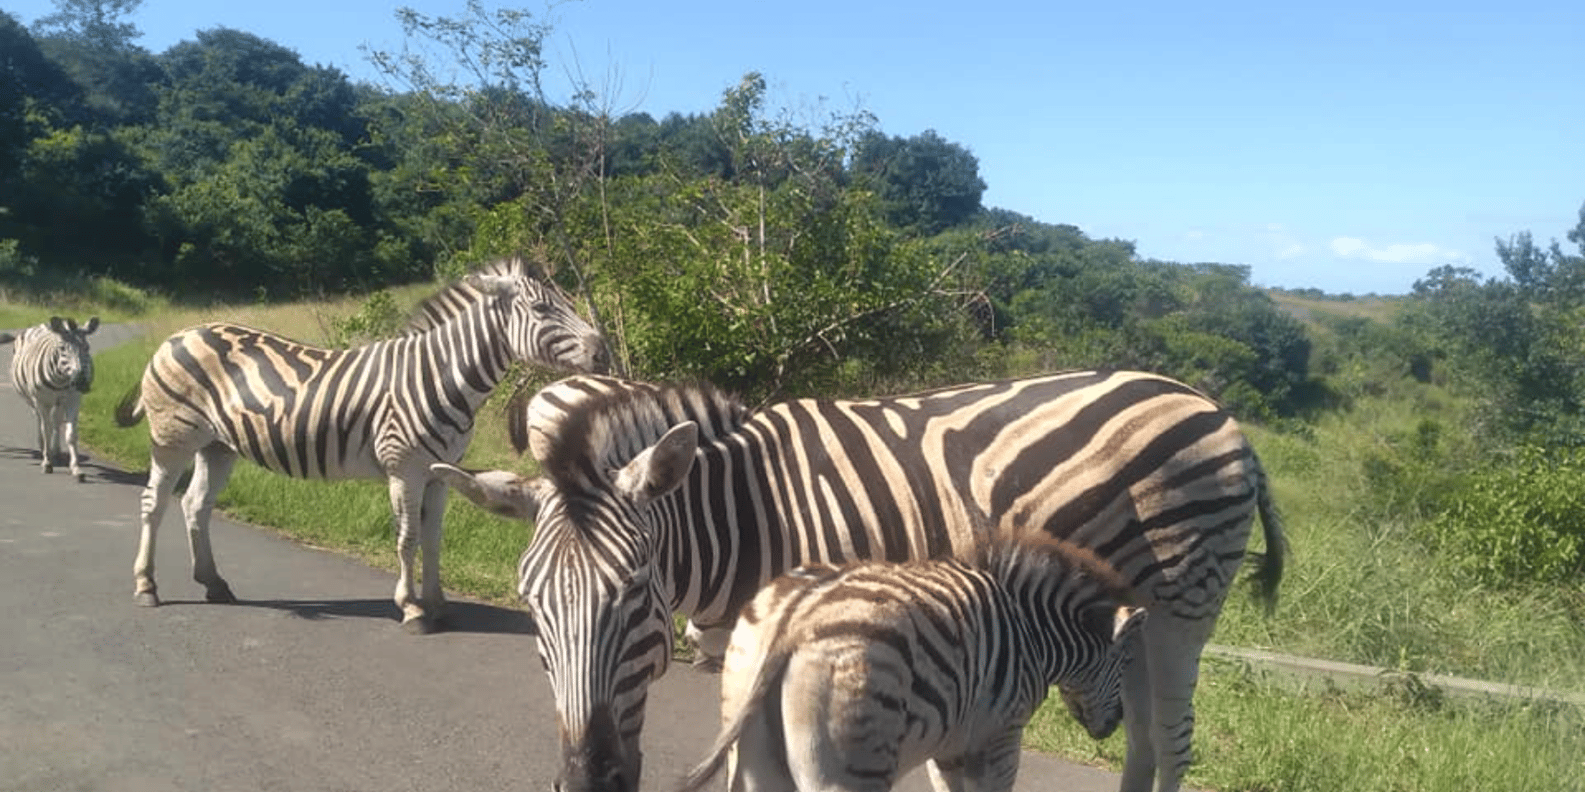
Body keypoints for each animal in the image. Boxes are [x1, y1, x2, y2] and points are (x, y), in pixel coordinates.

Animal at [0, 316, 100, 481]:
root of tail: (43, 325)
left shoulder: (73, 399)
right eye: (62, 348)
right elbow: (46, 429)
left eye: (87, 348)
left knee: (56, 421)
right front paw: (47, 463)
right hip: (33, 399)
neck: (61, 380)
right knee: (41, 420)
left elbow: (71, 434)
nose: (81, 382)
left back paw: (56, 451)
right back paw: (43, 447)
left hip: (59, 401)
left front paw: (76, 468)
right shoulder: (42, 401)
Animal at [114, 256, 608, 633]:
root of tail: (177, 335)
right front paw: (412, 609)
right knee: (153, 502)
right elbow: (408, 538)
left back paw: (214, 584)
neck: (441, 376)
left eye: (566, 302)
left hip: (217, 446)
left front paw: (439, 604)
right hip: (173, 437)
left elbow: (434, 540)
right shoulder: (404, 468)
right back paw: (146, 586)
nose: (603, 351)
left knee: (195, 504)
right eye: (542, 309)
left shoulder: (441, 473)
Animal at [675, 529, 1147, 792]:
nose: (1113, 728)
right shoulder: (1002, 733)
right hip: (851, 765)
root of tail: (799, 613)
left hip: (751, 747)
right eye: (1126, 666)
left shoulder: (952, 742)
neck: (1032, 631)